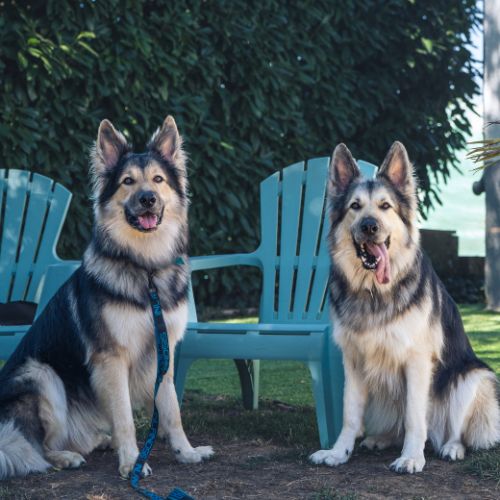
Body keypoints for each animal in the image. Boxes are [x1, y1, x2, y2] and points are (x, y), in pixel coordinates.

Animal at [0, 116, 213, 480]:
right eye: (128, 181)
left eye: (158, 179)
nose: (148, 198)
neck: (145, 269)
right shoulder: (111, 359)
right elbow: (124, 416)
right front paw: (131, 462)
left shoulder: (164, 353)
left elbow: (171, 408)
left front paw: (185, 452)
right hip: (42, 375)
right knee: (34, 445)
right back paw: (65, 457)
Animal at [310, 142, 499, 473]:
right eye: (355, 206)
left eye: (385, 206)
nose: (369, 226)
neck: (374, 291)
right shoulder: (353, 360)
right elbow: (350, 414)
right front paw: (338, 452)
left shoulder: (417, 361)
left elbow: (414, 417)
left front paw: (412, 456)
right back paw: (382, 438)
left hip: (472, 379)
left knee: (453, 429)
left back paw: (451, 447)